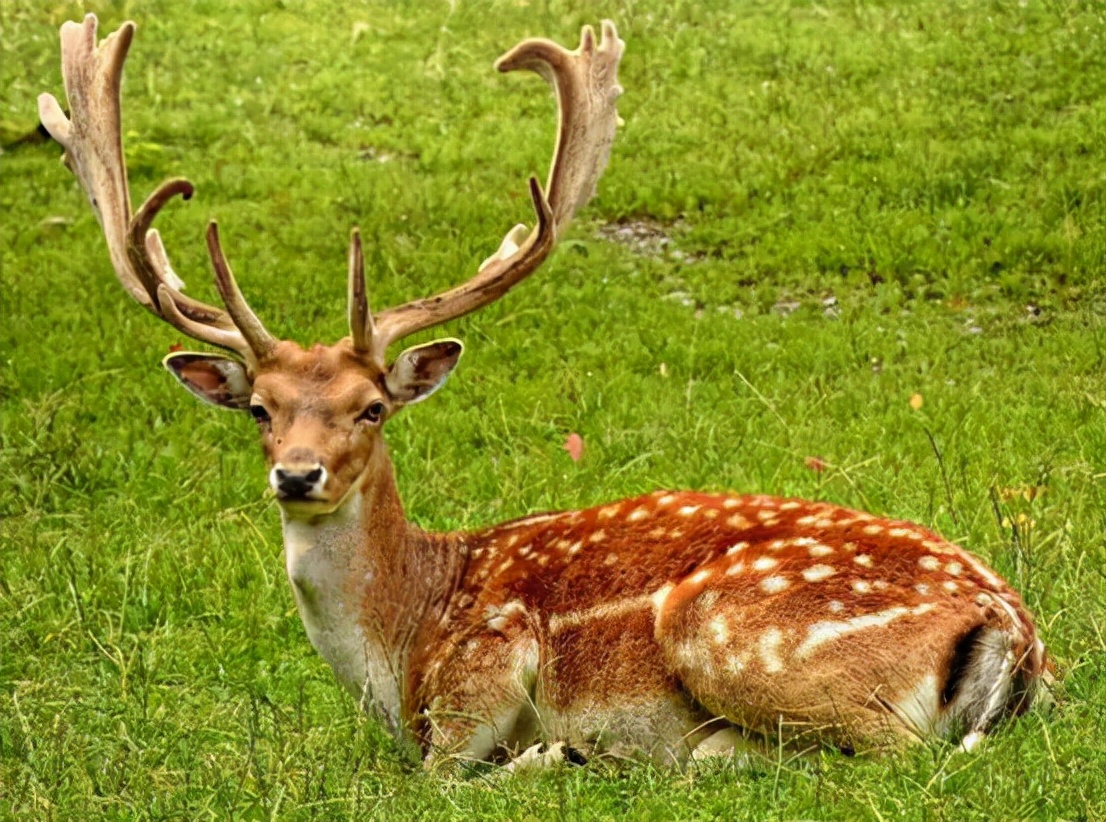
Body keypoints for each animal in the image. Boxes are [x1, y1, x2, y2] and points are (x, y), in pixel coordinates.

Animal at [40, 14, 1044, 770]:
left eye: (373, 407)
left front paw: (553, 752)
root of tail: (1013, 627)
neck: (403, 643)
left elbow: (444, 776)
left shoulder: (482, 671)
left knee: (888, 755)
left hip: (728, 631)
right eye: (261, 409)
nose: (297, 474)